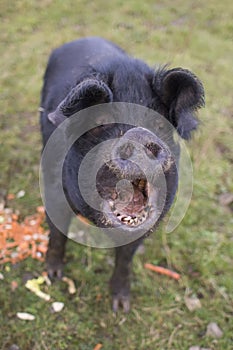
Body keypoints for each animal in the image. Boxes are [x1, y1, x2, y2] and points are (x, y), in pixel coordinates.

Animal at [40, 37, 204, 312]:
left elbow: (126, 259)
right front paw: (53, 276)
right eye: (100, 122)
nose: (141, 134)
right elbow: (57, 233)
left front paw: (121, 306)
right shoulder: (53, 190)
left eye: (159, 124)